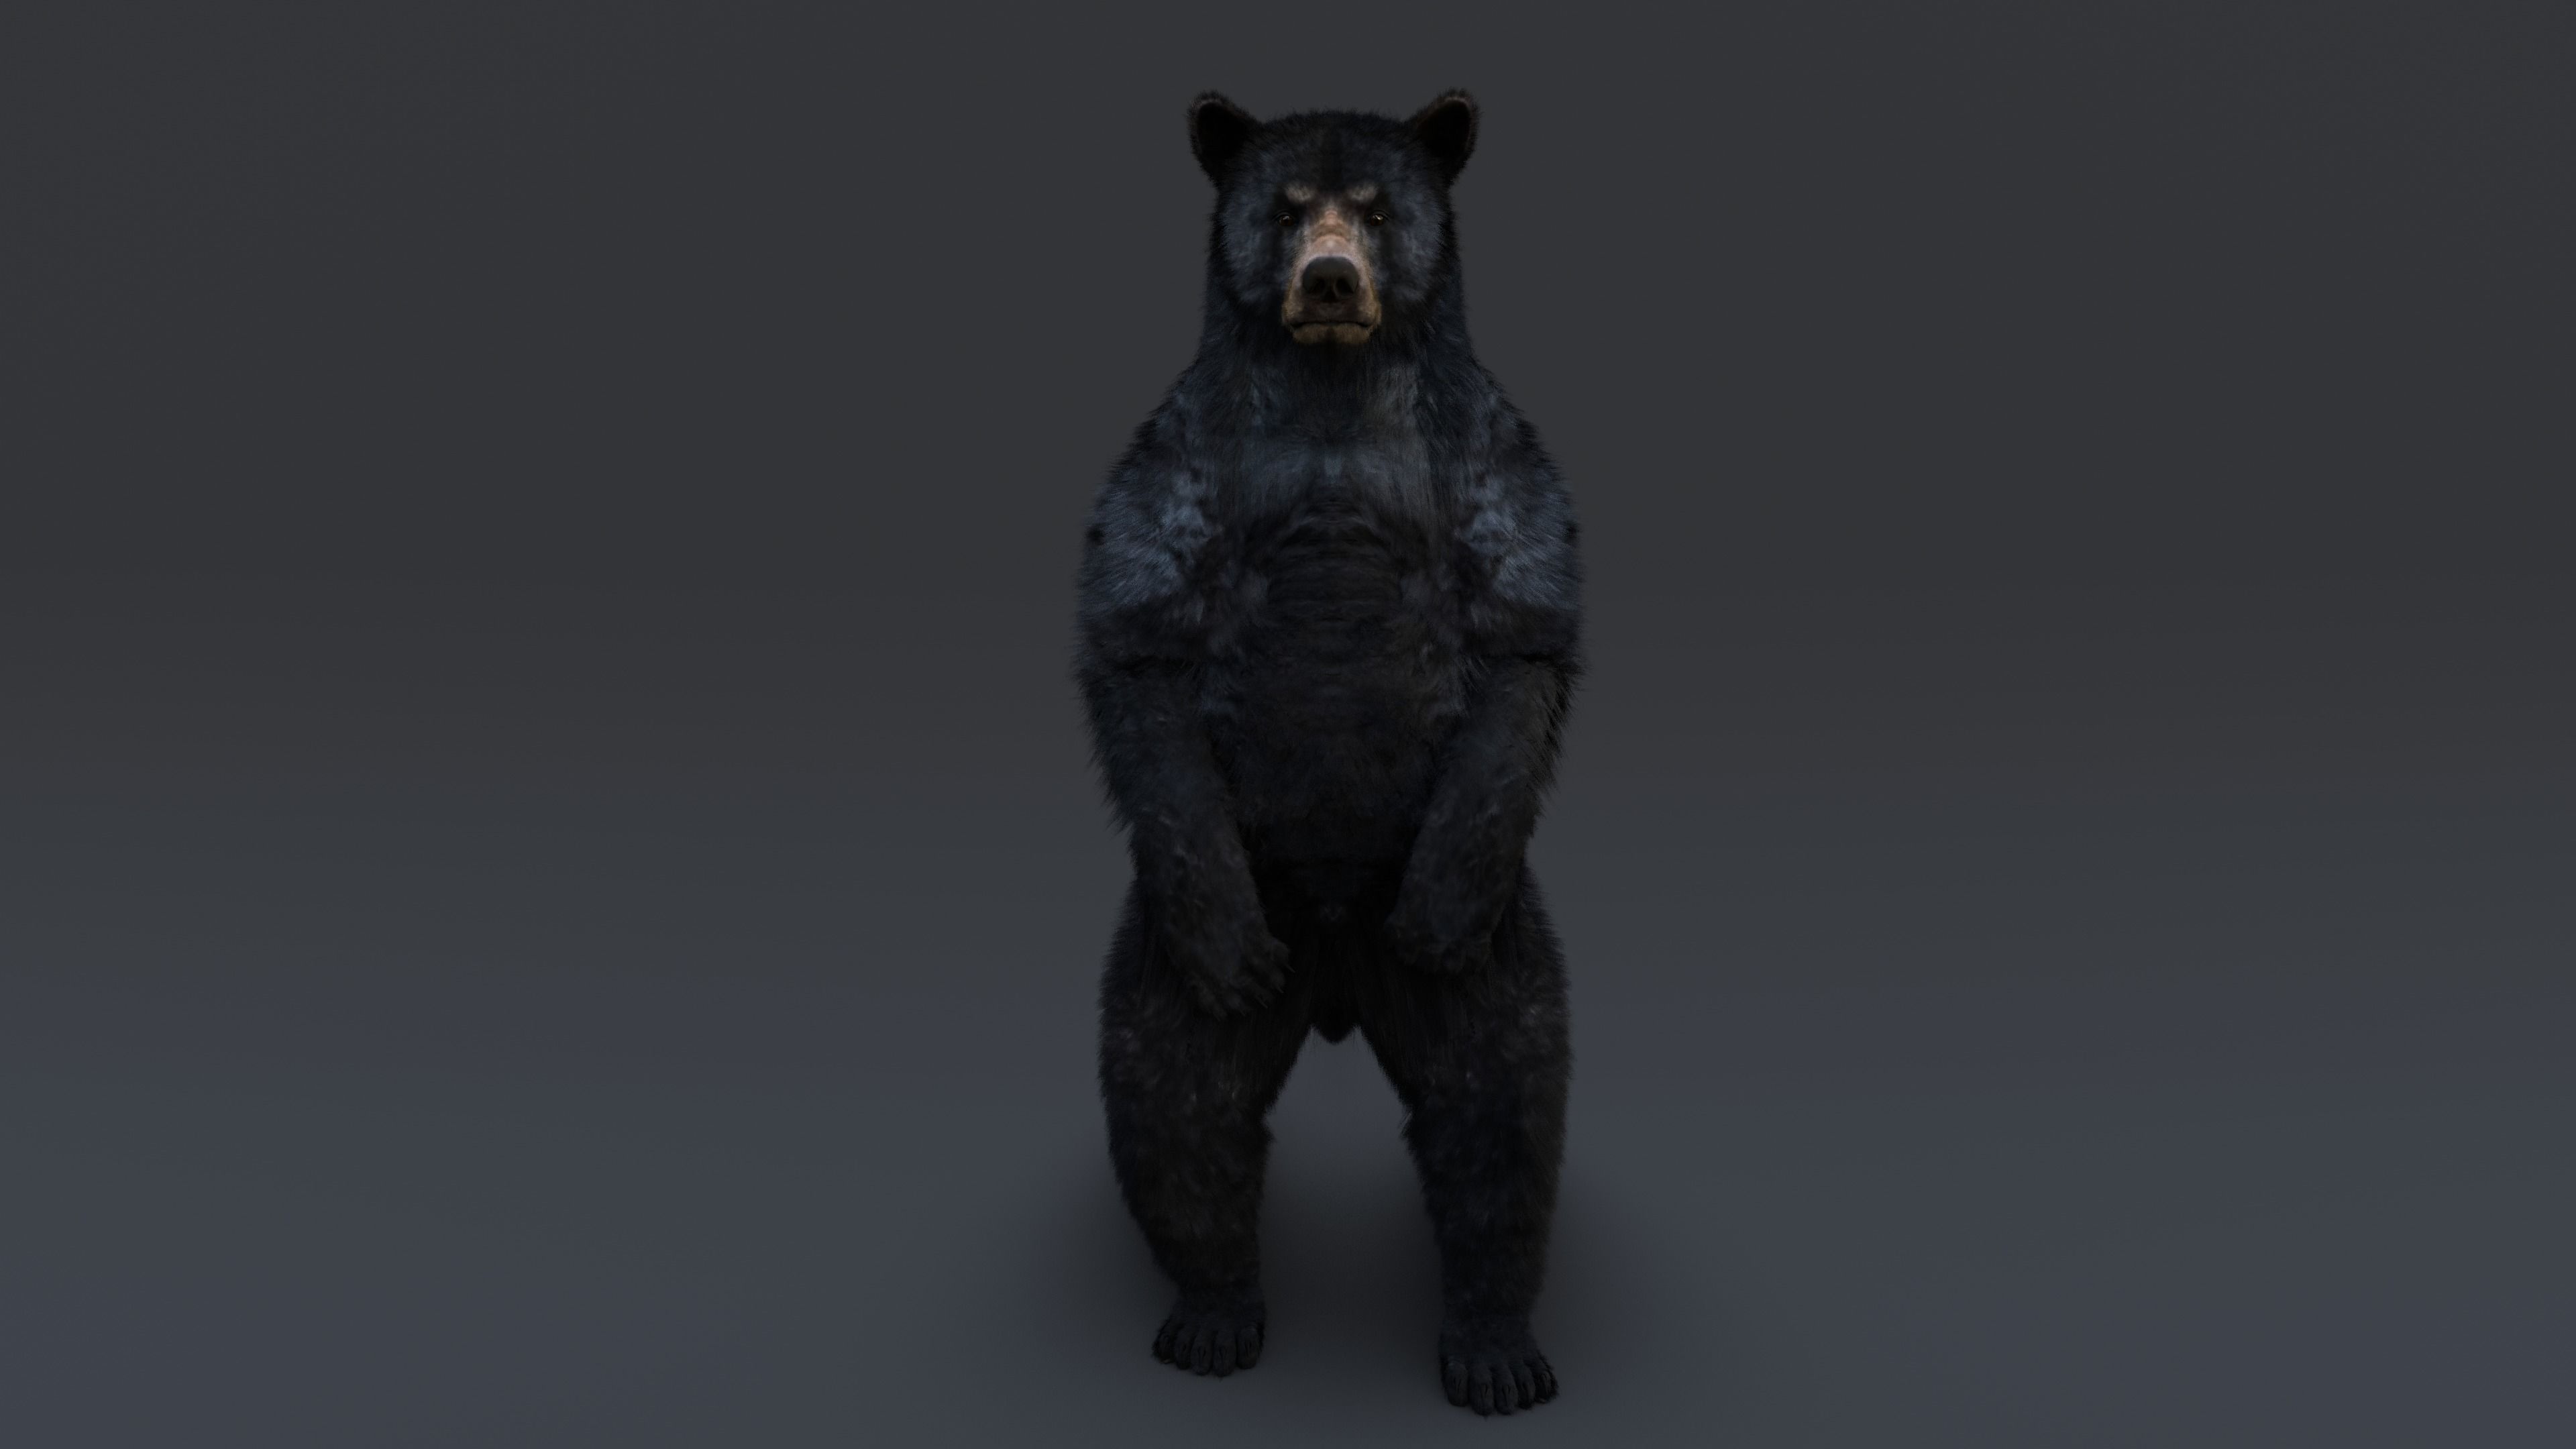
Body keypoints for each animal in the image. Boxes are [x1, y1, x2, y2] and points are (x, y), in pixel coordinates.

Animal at [1076, 89, 1582, 1417]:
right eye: (1289, 206)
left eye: (1377, 206)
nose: (1333, 279)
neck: (1334, 386)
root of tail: (1343, 980)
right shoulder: (1182, 450)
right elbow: (1140, 639)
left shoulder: (1488, 445)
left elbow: (1522, 630)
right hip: (1203, 926)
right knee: (1178, 1096)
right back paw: (1213, 1315)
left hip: (1493, 944)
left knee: (1499, 1105)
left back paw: (1495, 1345)